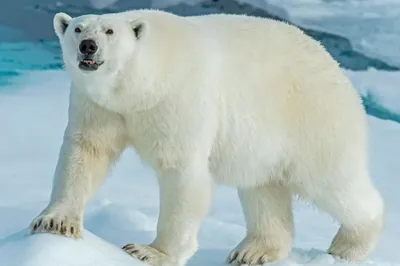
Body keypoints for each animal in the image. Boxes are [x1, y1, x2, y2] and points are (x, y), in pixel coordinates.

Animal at [29, 8, 382, 266]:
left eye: (109, 32)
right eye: (78, 29)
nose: (88, 46)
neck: (141, 84)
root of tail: (336, 69)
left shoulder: (177, 99)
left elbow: (181, 172)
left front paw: (150, 251)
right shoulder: (100, 106)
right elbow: (87, 151)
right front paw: (56, 222)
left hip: (311, 119)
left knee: (331, 180)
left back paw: (349, 246)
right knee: (262, 189)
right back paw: (252, 251)